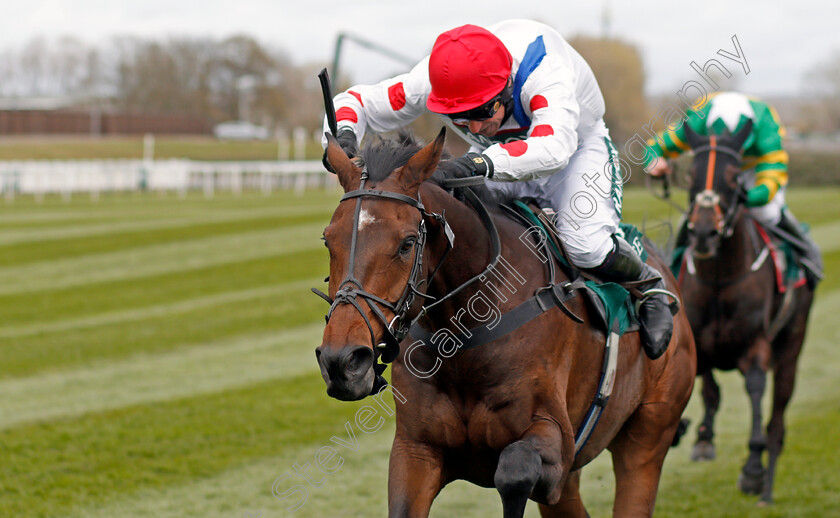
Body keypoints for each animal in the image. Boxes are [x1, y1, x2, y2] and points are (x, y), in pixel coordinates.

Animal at [316, 130, 696, 518]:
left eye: (407, 243)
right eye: (328, 239)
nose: (343, 361)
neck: (465, 337)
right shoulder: (416, 451)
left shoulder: (556, 444)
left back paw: (653, 306)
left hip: (648, 434)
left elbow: (514, 472)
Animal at [680, 120, 816, 506]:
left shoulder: (756, 344)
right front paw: (703, 439)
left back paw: (766, 487)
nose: (704, 233)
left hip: (792, 348)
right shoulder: (698, 340)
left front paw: (753, 467)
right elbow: (709, 388)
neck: (719, 278)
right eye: (690, 173)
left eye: (733, 174)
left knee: (777, 418)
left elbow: (755, 388)